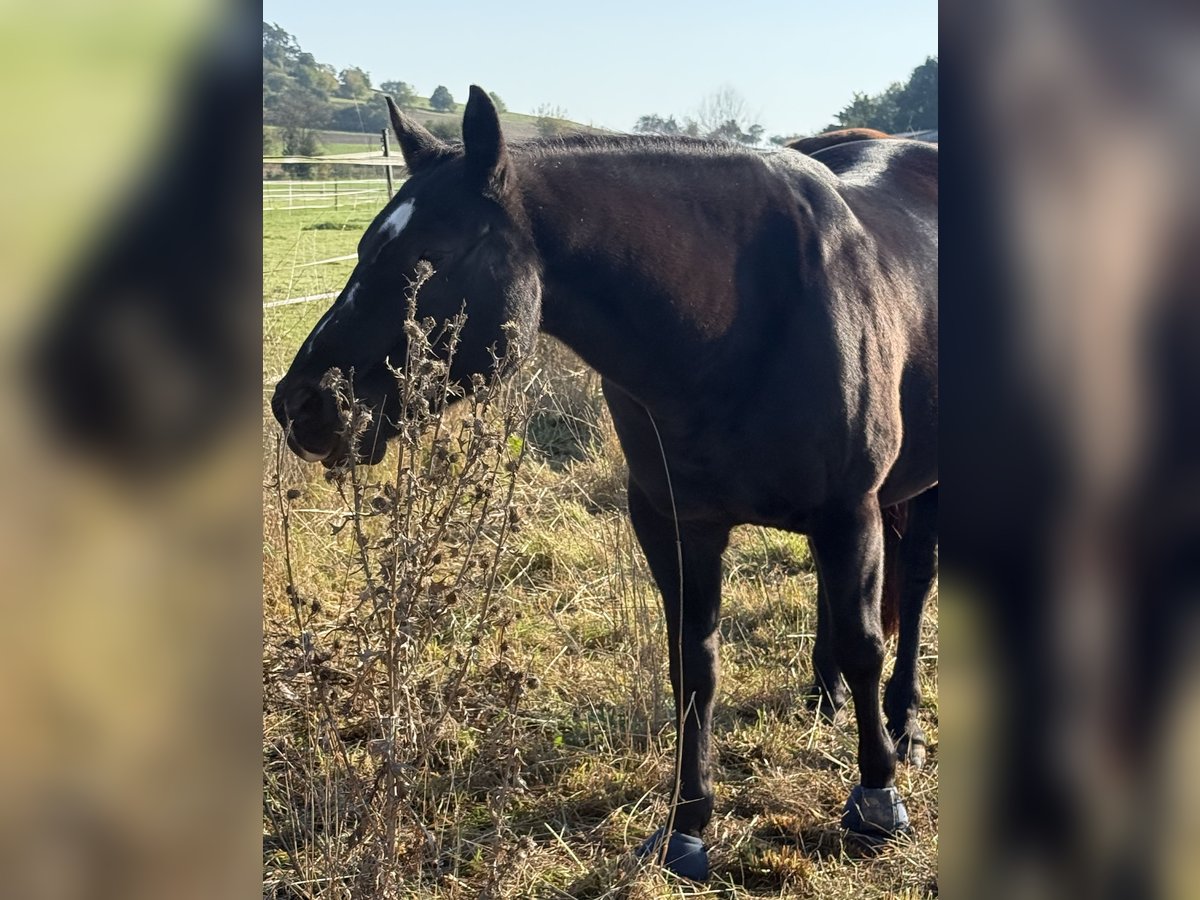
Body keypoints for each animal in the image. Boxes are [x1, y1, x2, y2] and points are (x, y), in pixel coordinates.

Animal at [271, 88, 938, 880]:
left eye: (429, 259)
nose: (302, 403)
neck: (737, 320)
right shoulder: (675, 523)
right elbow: (693, 668)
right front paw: (686, 827)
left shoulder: (849, 511)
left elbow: (867, 645)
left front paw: (877, 801)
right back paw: (824, 695)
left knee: (914, 590)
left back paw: (903, 723)